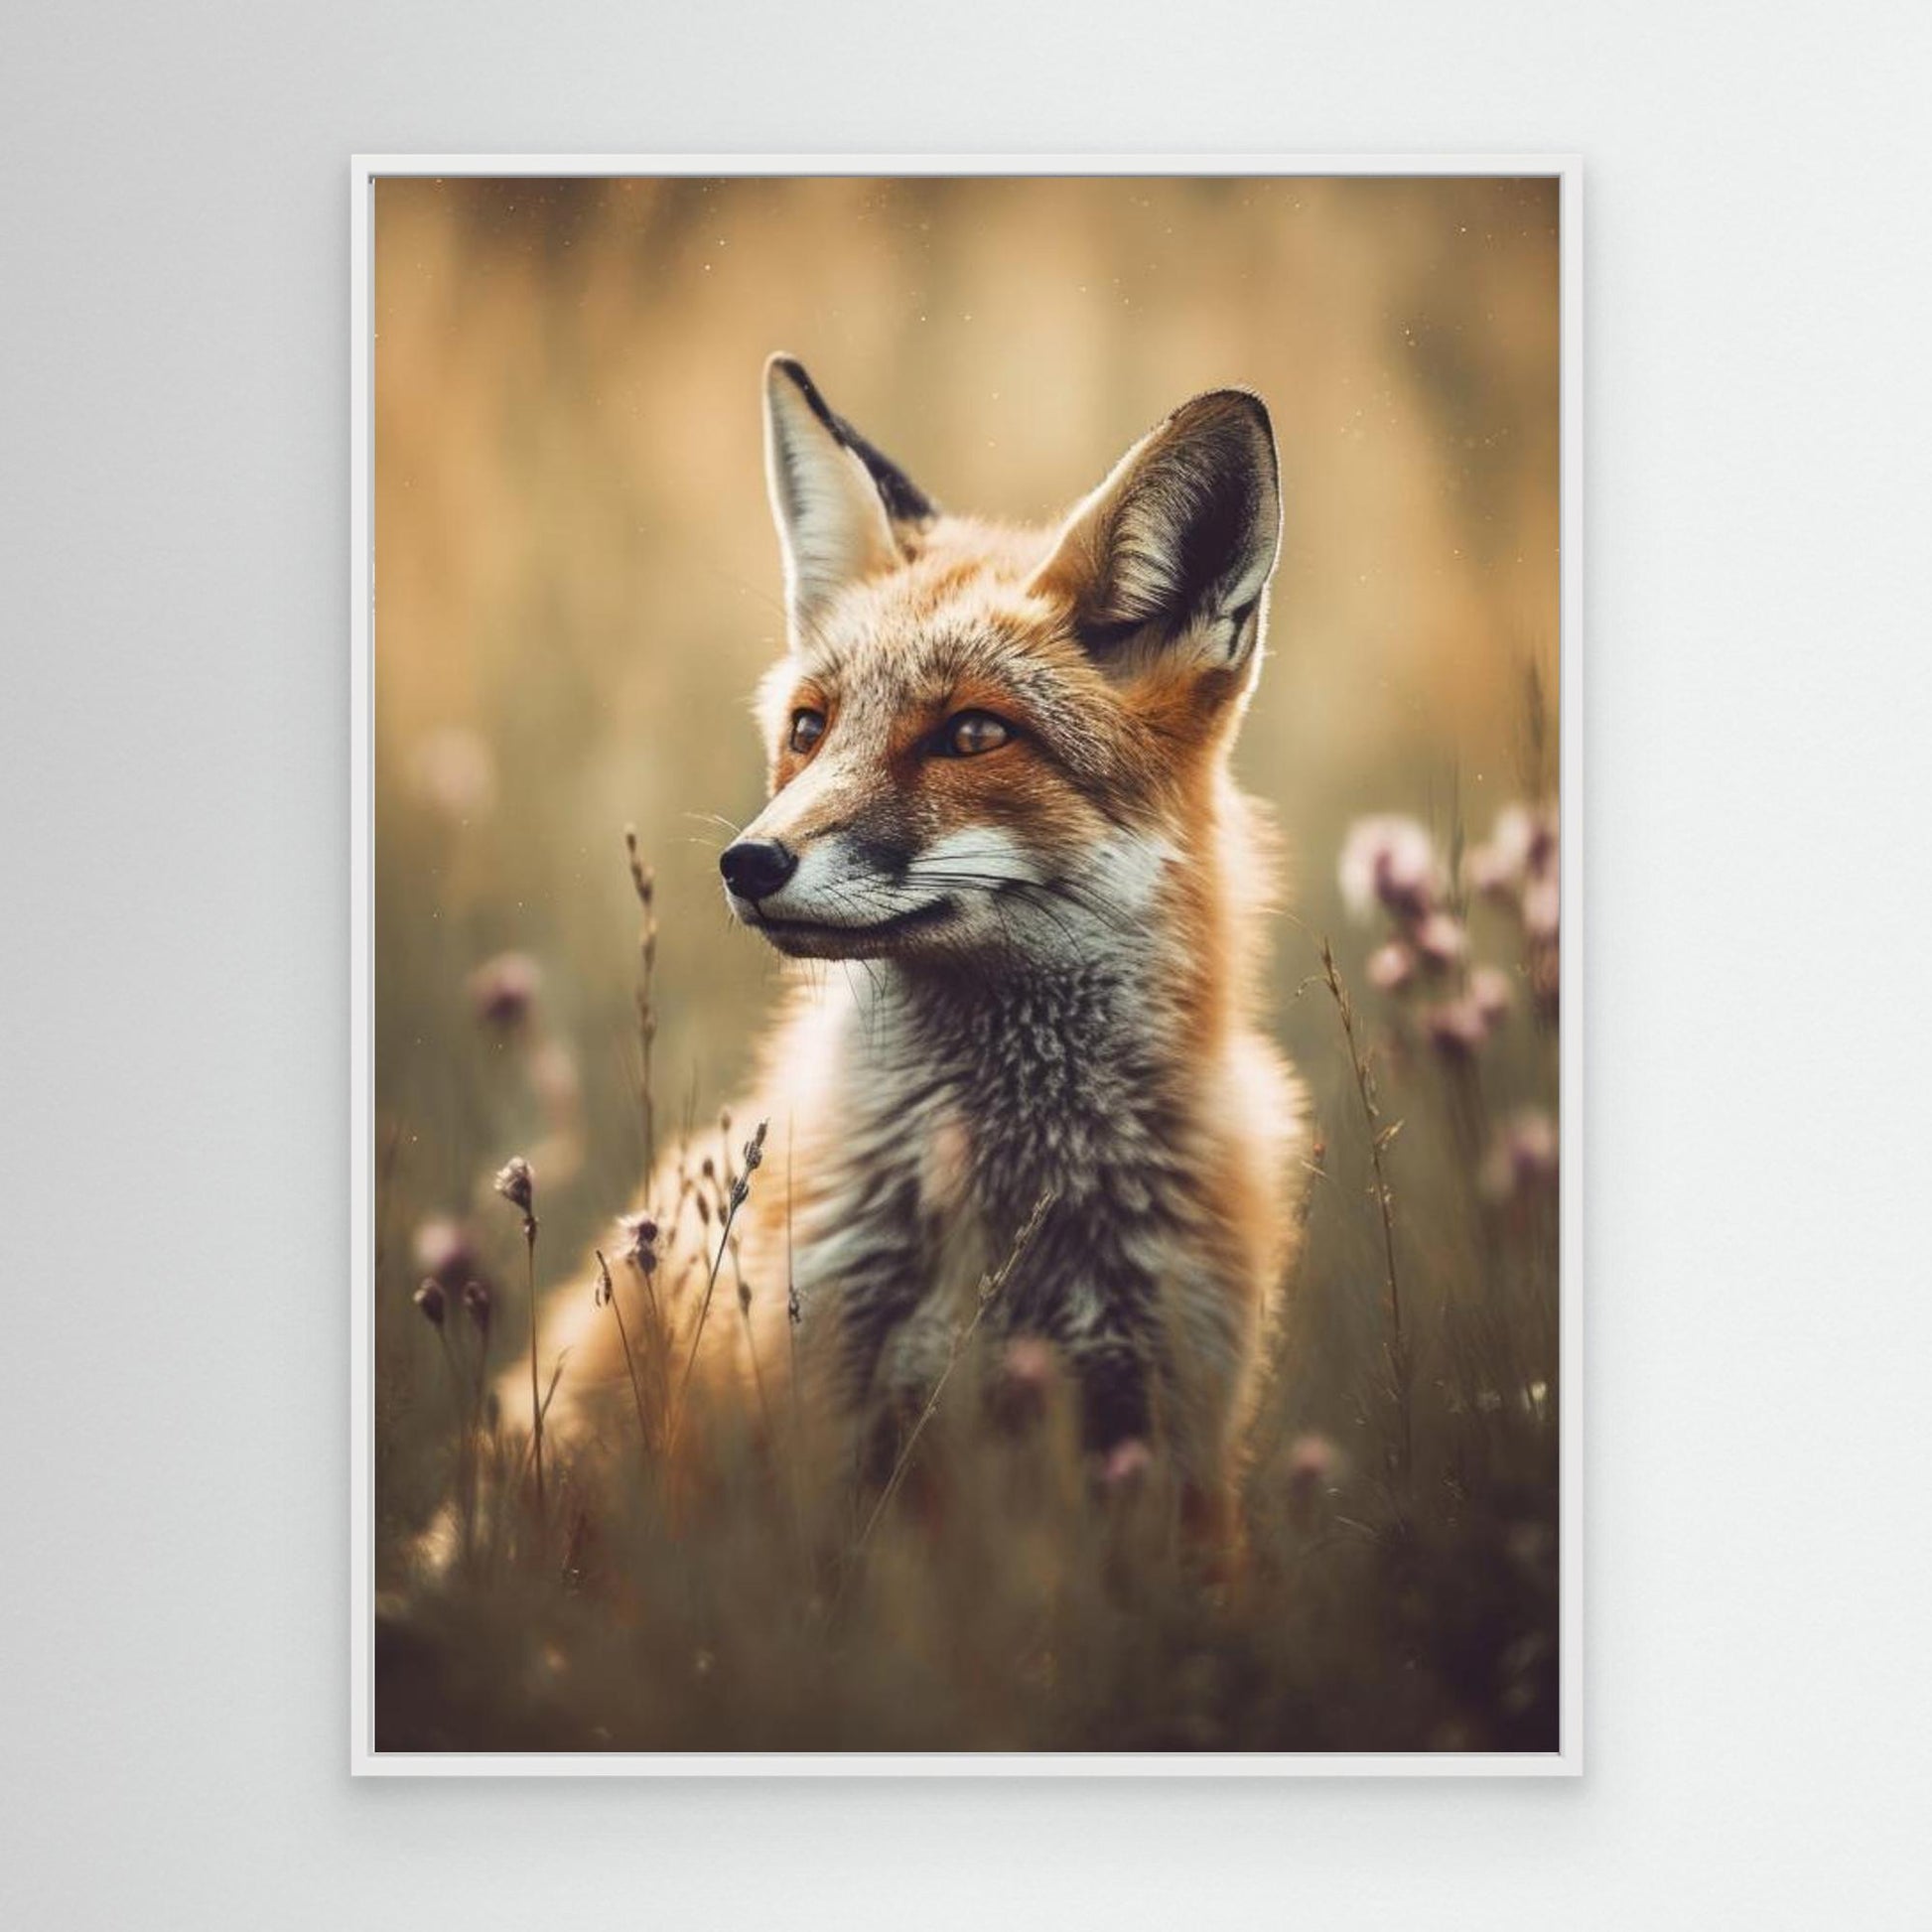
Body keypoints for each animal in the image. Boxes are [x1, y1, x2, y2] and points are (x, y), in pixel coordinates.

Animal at [515, 354, 1309, 1530]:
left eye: (973, 734)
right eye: (809, 729)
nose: (747, 864)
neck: (1013, 1210)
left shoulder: (1175, 1440)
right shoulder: (824, 1428)